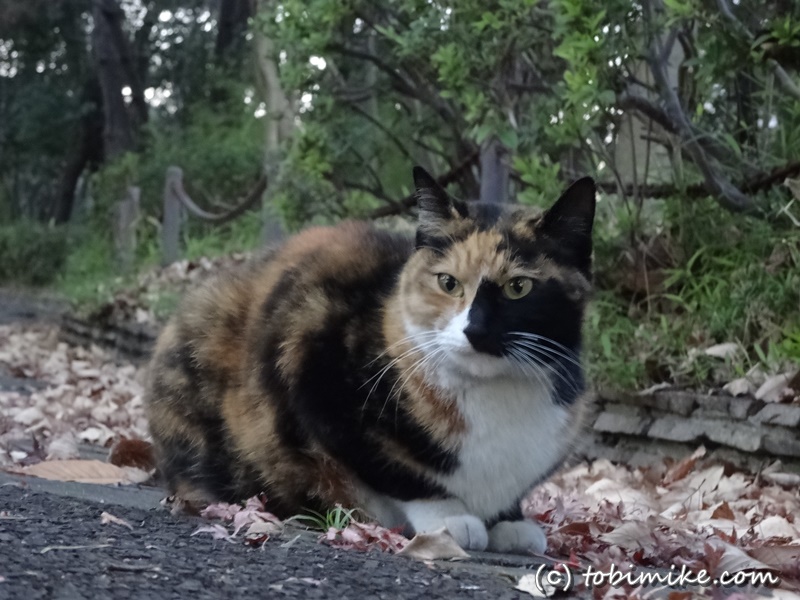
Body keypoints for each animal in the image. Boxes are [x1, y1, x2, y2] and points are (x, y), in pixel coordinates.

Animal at [145, 168, 592, 552]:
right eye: (448, 283)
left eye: (519, 287)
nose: (475, 330)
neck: (490, 396)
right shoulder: (309, 364)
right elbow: (392, 468)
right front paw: (450, 516)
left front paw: (510, 521)